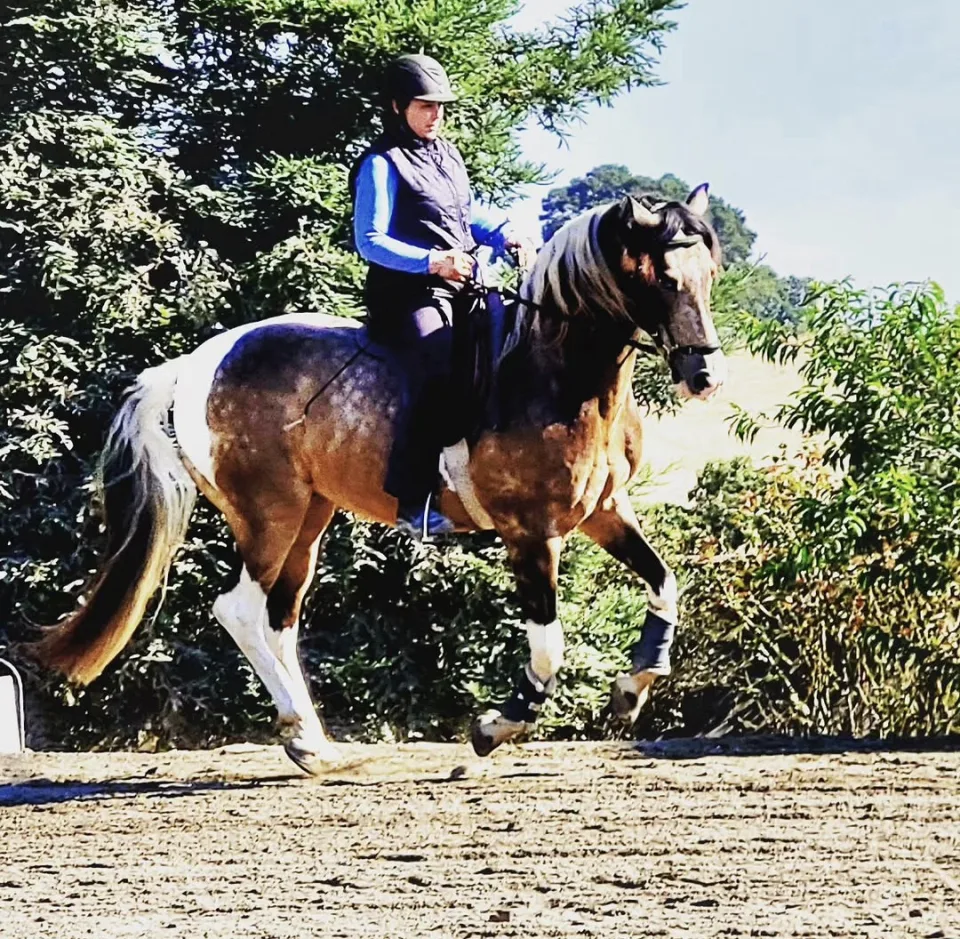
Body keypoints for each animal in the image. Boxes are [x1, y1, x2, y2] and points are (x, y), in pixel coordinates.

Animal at [33, 185, 726, 772]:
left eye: (711, 275)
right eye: (665, 279)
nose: (705, 377)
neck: (555, 373)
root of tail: (192, 364)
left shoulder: (605, 509)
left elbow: (665, 583)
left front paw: (634, 686)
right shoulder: (531, 532)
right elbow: (549, 647)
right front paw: (495, 727)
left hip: (309, 520)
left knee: (280, 620)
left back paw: (313, 744)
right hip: (269, 515)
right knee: (240, 611)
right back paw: (306, 739)